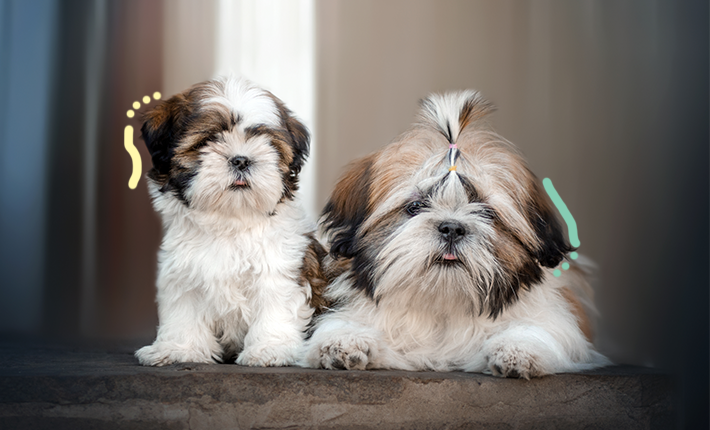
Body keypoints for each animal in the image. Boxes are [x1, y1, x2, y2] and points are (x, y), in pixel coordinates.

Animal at [134, 76, 328, 366]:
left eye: (267, 142)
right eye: (208, 139)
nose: (241, 160)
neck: (230, 222)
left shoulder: (280, 268)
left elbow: (274, 305)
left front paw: (269, 348)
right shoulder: (183, 273)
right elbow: (184, 310)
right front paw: (179, 348)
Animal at [304, 90, 608, 376]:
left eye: (486, 212)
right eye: (415, 206)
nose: (452, 228)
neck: (442, 308)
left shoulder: (558, 320)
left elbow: (543, 329)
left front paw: (518, 348)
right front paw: (344, 340)